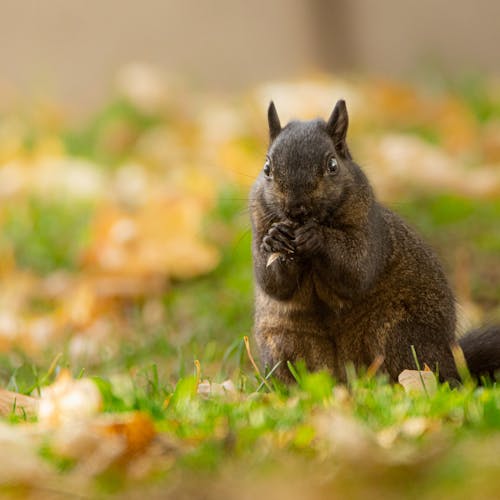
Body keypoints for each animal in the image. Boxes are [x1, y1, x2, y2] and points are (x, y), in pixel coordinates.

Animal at [250, 100, 500, 382]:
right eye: (267, 169)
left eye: (333, 165)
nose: (296, 208)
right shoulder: (258, 224)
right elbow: (273, 283)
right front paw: (276, 239)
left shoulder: (369, 231)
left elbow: (356, 270)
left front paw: (317, 237)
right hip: (284, 342)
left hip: (397, 333)